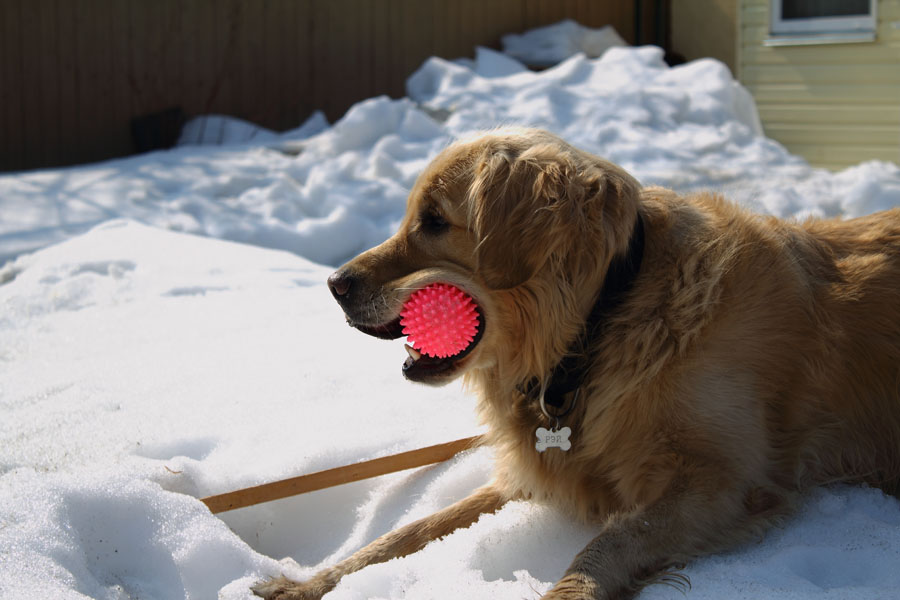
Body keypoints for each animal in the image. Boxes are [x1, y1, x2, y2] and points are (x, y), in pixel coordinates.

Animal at [253, 127, 900, 600]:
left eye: (435, 222)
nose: (334, 284)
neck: (602, 323)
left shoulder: (724, 481)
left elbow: (610, 541)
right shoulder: (529, 469)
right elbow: (410, 531)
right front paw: (311, 582)